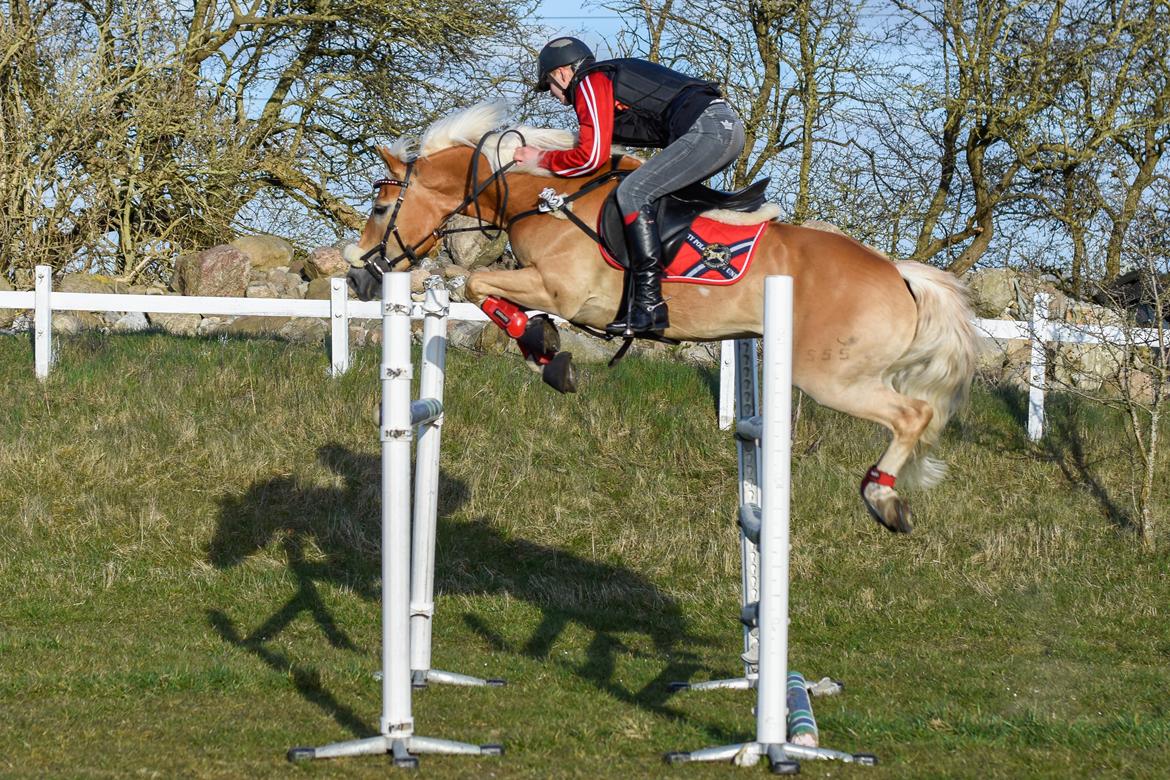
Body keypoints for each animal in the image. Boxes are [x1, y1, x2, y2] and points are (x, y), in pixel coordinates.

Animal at [341, 100, 978, 533]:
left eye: (380, 206)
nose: (357, 277)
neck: (539, 199)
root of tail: (899, 275)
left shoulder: (565, 292)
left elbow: (477, 283)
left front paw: (544, 348)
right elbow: (487, 294)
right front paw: (545, 352)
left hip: (830, 377)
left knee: (913, 414)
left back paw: (884, 498)